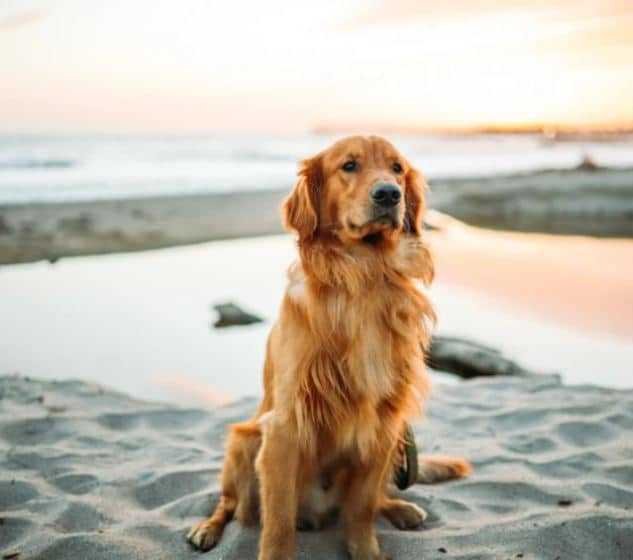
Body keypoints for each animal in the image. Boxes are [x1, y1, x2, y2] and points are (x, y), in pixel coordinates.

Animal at [188, 137, 470, 560]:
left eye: (398, 168)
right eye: (349, 165)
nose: (389, 194)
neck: (365, 273)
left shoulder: (384, 422)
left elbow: (362, 508)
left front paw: (368, 551)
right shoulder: (284, 426)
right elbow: (278, 523)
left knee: (375, 498)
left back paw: (400, 508)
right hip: (243, 441)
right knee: (229, 505)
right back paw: (207, 529)